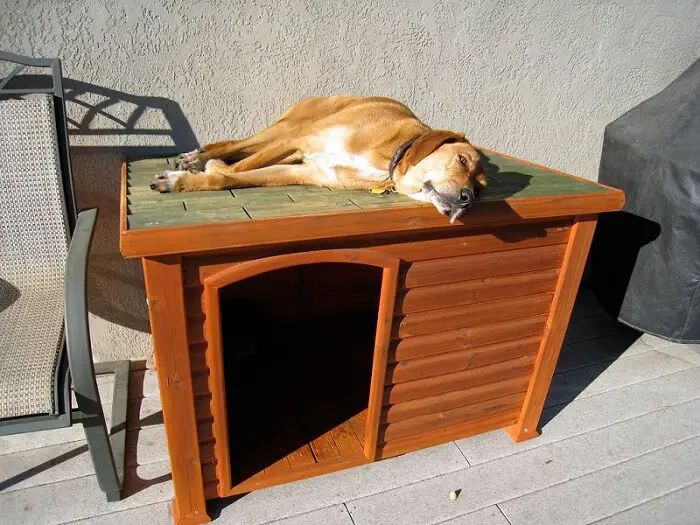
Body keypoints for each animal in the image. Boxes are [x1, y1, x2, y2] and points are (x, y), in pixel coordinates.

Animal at [149, 94, 486, 221]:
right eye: (462, 160)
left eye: (480, 189)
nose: (468, 199)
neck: (388, 156)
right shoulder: (299, 142)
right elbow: (240, 166)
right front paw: (196, 172)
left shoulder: (302, 172)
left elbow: (231, 176)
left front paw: (187, 180)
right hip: (287, 129)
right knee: (238, 145)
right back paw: (197, 157)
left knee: (240, 148)